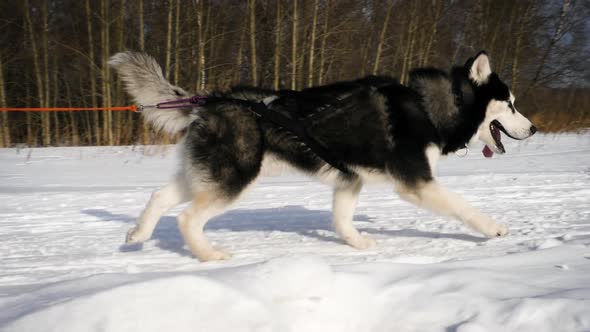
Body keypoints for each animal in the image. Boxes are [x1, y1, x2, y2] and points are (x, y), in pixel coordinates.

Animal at [110, 50, 536, 260]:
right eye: (511, 104)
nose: (533, 129)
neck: (430, 107)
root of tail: (212, 101)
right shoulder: (418, 183)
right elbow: (464, 206)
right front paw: (494, 228)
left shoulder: (350, 180)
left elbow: (343, 221)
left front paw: (358, 244)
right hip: (235, 177)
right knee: (187, 218)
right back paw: (210, 255)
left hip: (207, 174)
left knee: (160, 196)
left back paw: (138, 234)